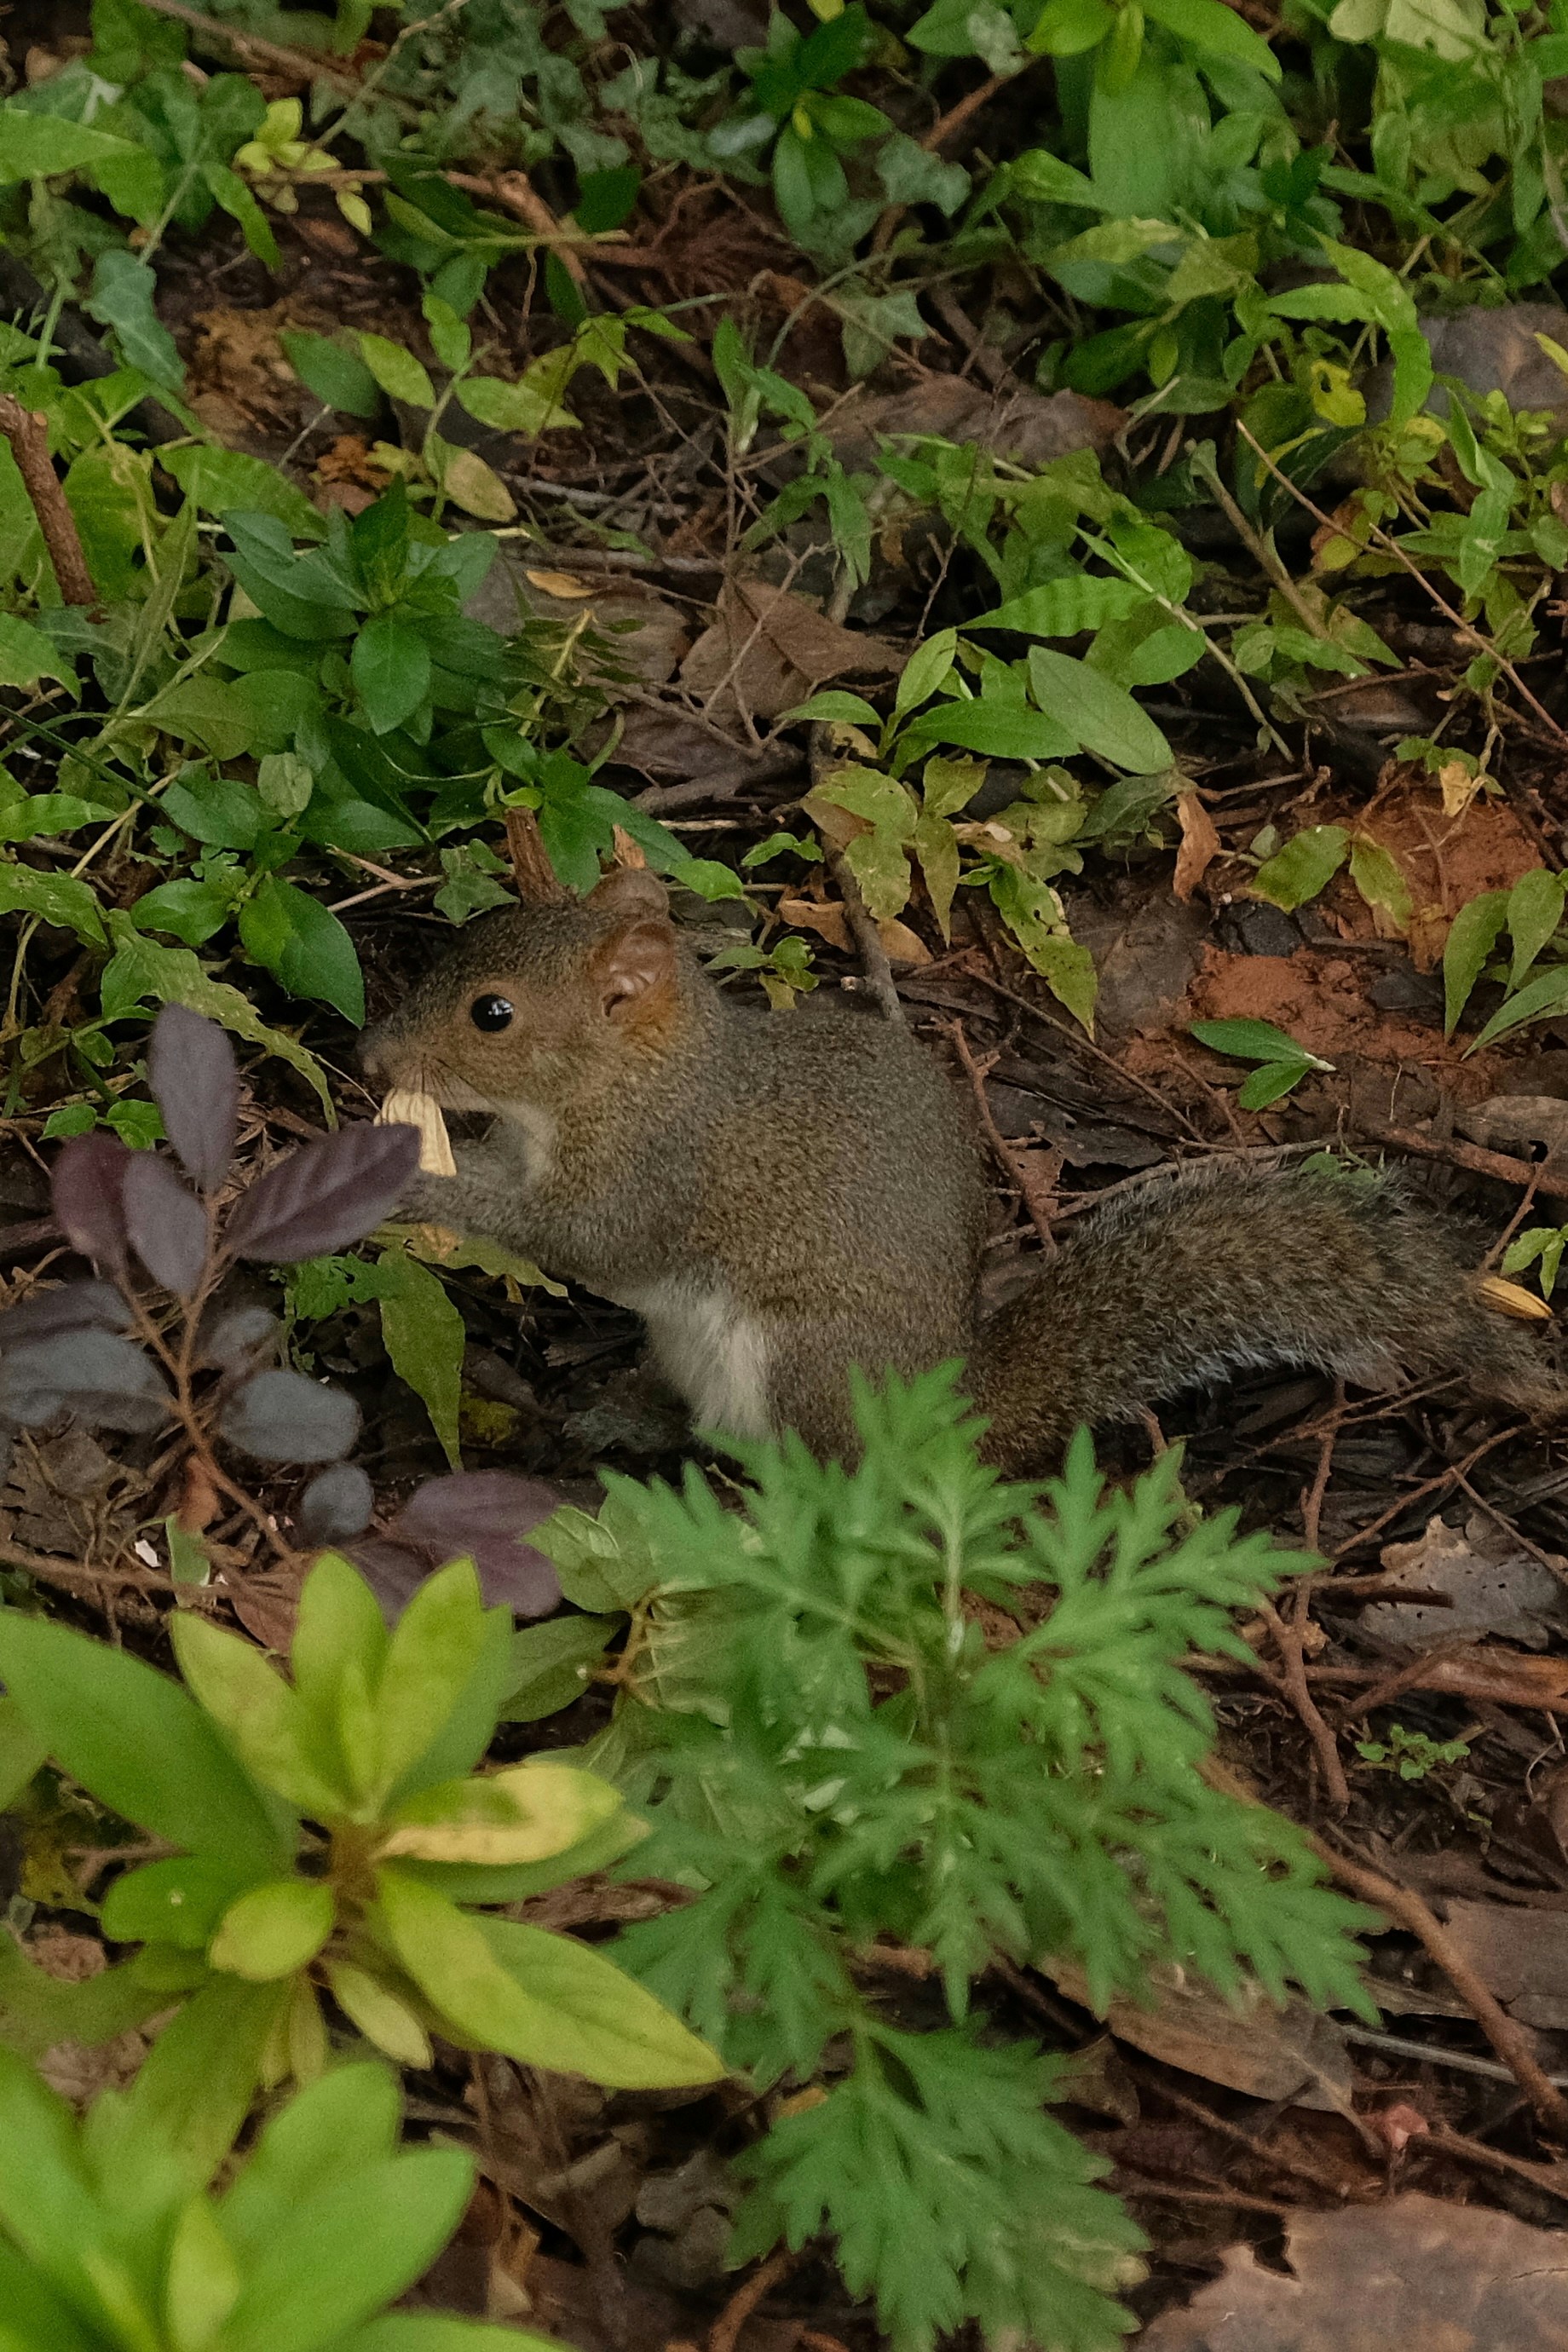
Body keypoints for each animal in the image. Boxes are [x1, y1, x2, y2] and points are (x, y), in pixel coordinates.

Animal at [360, 866, 1566, 1474]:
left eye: (492, 1014)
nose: (373, 1053)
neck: (626, 1082)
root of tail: (941, 1412)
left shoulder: (656, 1174)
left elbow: (574, 1241)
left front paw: (414, 1179)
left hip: (805, 1361)